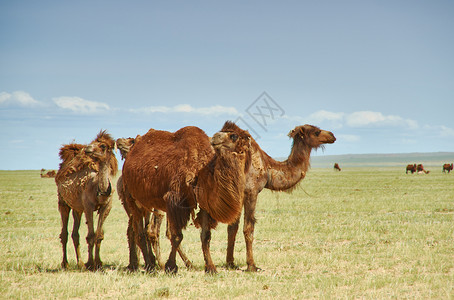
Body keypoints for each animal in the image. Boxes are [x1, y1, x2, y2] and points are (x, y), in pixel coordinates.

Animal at [55, 131, 118, 270]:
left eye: (103, 146)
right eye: (93, 142)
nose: (88, 149)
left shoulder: (106, 206)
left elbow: (99, 235)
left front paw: (98, 263)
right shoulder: (89, 206)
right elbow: (91, 235)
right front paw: (91, 263)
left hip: (77, 208)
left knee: (75, 233)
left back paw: (80, 263)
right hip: (63, 202)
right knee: (64, 233)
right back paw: (66, 263)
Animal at [121, 122, 252, 274]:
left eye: (233, 135)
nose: (214, 137)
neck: (200, 170)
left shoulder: (204, 204)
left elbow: (205, 236)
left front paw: (211, 268)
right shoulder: (174, 201)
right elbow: (177, 236)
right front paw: (171, 266)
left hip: (145, 203)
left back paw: (149, 264)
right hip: (131, 198)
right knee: (140, 233)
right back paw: (150, 266)